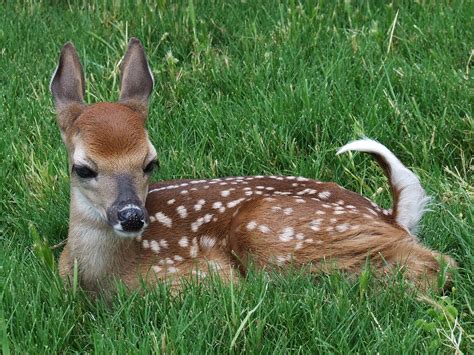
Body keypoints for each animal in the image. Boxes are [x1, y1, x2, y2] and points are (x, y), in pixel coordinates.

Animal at [51, 37, 456, 296]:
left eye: (151, 162)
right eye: (83, 168)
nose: (132, 216)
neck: (104, 276)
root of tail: (390, 214)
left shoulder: (197, 276)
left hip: (269, 227)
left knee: (439, 264)